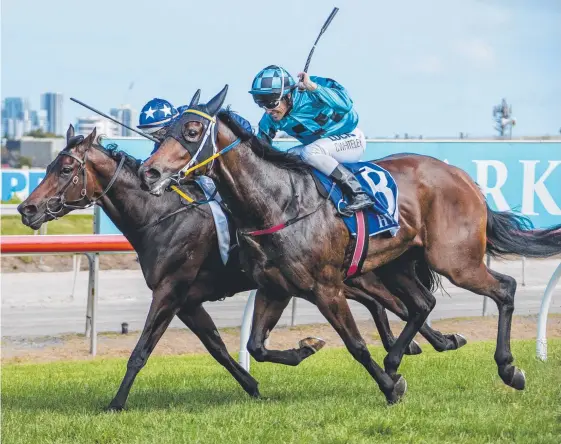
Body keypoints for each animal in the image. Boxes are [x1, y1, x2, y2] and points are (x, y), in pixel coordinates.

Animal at [17, 124, 464, 410]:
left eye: (66, 168)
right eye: (50, 165)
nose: (27, 209)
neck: (161, 215)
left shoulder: (170, 292)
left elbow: (141, 350)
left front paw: (115, 403)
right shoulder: (188, 301)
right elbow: (219, 348)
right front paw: (255, 383)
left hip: (353, 273)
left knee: (400, 304)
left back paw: (420, 346)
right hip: (351, 276)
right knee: (395, 305)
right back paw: (433, 342)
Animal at [139, 85, 560, 404]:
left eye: (193, 130)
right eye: (164, 131)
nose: (150, 172)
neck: (278, 203)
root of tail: (462, 176)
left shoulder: (326, 287)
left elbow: (355, 344)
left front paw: (391, 388)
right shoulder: (275, 288)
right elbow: (257, 347)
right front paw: (307, 348)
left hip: (454, 259)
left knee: (504, 288)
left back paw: (509, 368)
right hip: (398, 262)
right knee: (422, 303)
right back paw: (399, 357)